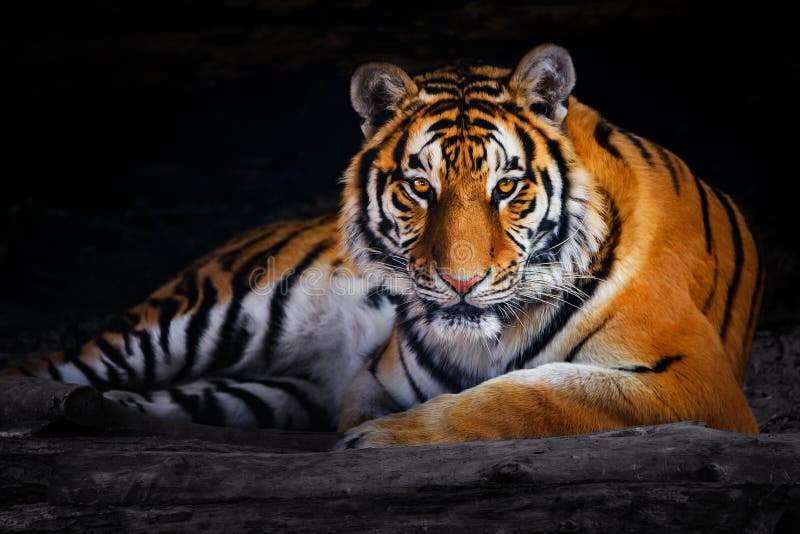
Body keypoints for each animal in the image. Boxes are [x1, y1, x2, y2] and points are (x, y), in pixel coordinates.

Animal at [0, 46, 764, 450]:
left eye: (507, 187)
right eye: (420, 187)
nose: (460, 282)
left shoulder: (693, 379)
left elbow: (528, 397)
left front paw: (382, 440)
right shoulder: (378, 374)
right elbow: (506, 394)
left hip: (249, 393)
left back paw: (86, 417)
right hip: (207, 318)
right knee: (42, 365)